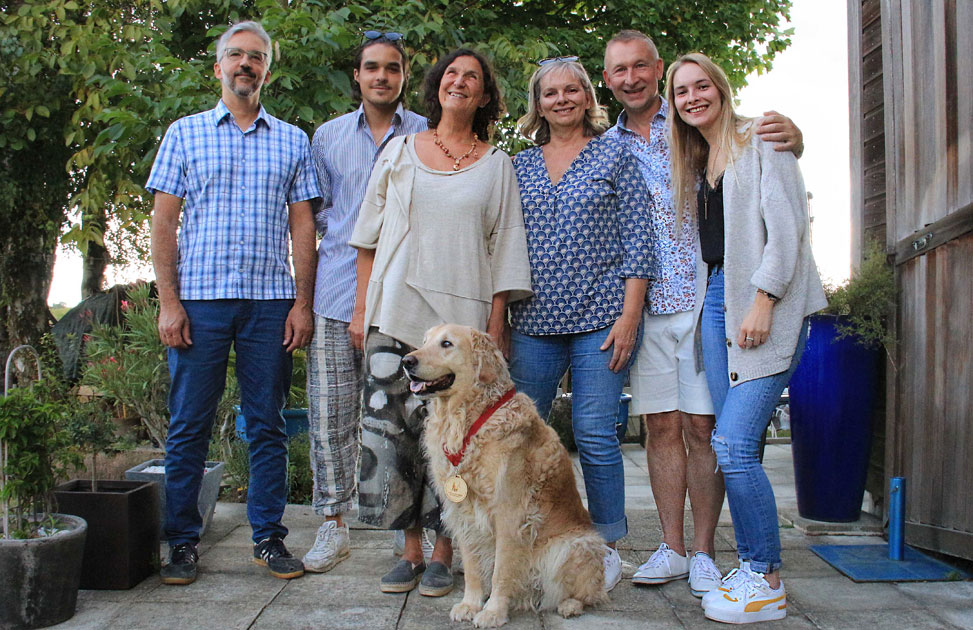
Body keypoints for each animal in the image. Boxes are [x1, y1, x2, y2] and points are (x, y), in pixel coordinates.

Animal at [400, 326, 600, 628]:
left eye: (446, 343)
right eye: (424, 342)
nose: (406, 361)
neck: (468, 420)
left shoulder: (509, 515)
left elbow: (501, 572)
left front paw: (493, 612)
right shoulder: (464, 514)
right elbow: (473, 568)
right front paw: (470, 605)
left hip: (570, 546)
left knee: (587, 591)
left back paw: (570, 605)